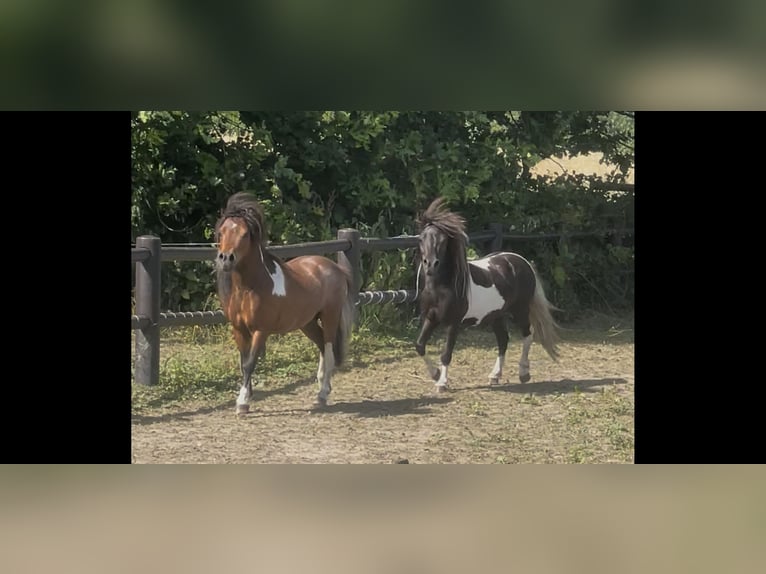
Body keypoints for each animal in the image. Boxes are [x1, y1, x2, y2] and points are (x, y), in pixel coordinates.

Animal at [214, 192, 355, 413]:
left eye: (245, 234)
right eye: (221, 233)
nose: (225, 259)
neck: (250, 287)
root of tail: (335, 268)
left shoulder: (261, 330)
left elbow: (250, 363)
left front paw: (243, 402)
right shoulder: (239, 329)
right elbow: (243, 363)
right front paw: (248, 396)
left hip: (330, 316)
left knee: (329, 348)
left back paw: (323, 394)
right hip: (307, 322)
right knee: (322, 345)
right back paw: (322, 389)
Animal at [415, 197, 561, 392]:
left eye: (444, 240)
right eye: (421, 238)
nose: (430, 264)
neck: (441, 287)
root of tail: (522, 261)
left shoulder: (454, 323)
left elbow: (446, 353)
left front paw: (442, 382)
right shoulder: (431, 318)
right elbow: (420, 346)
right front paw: (436, 374)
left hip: (520, 310)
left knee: (527, 335)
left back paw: (524, 373)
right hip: (496, 316)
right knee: (503, 340)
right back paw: (495, 375)